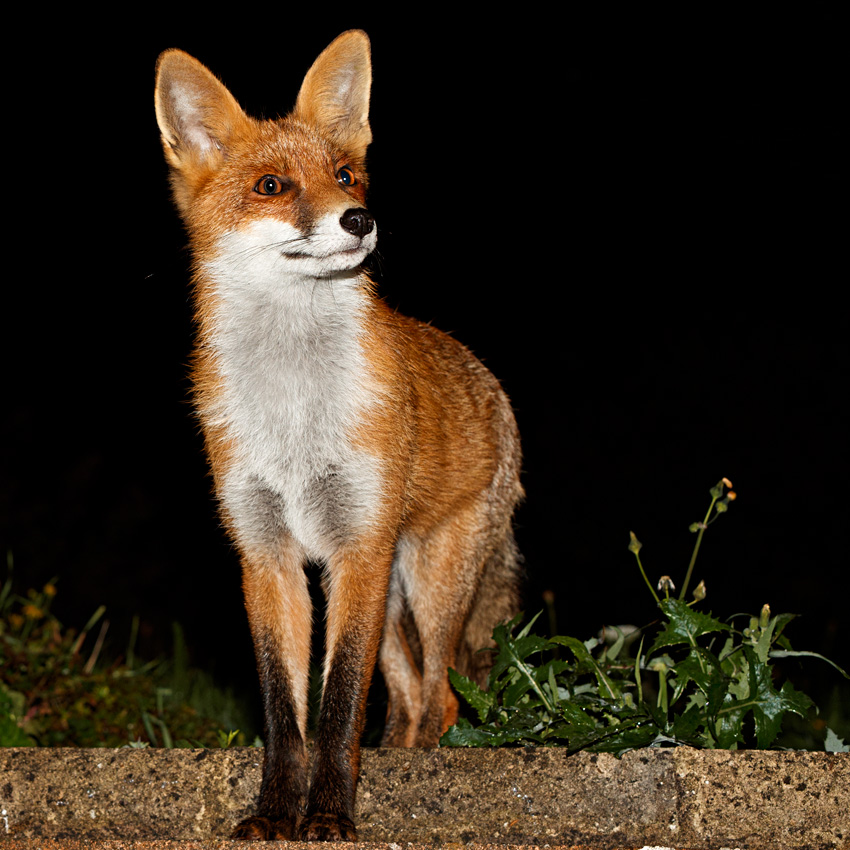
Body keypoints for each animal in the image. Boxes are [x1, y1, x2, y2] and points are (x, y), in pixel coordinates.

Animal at [154, 30, 523, 841]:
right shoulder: (266, 554)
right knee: (412, 699)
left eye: (346, 176)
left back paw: (428, 767)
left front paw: (328, 814)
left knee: (442, 697)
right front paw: (274, 813)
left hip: (427, 581)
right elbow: (285, 713)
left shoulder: (359, 544)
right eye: (271, 186)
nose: (361, 219)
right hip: (391, 594)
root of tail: (492, 387)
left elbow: (338, 705)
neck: (295, 406)